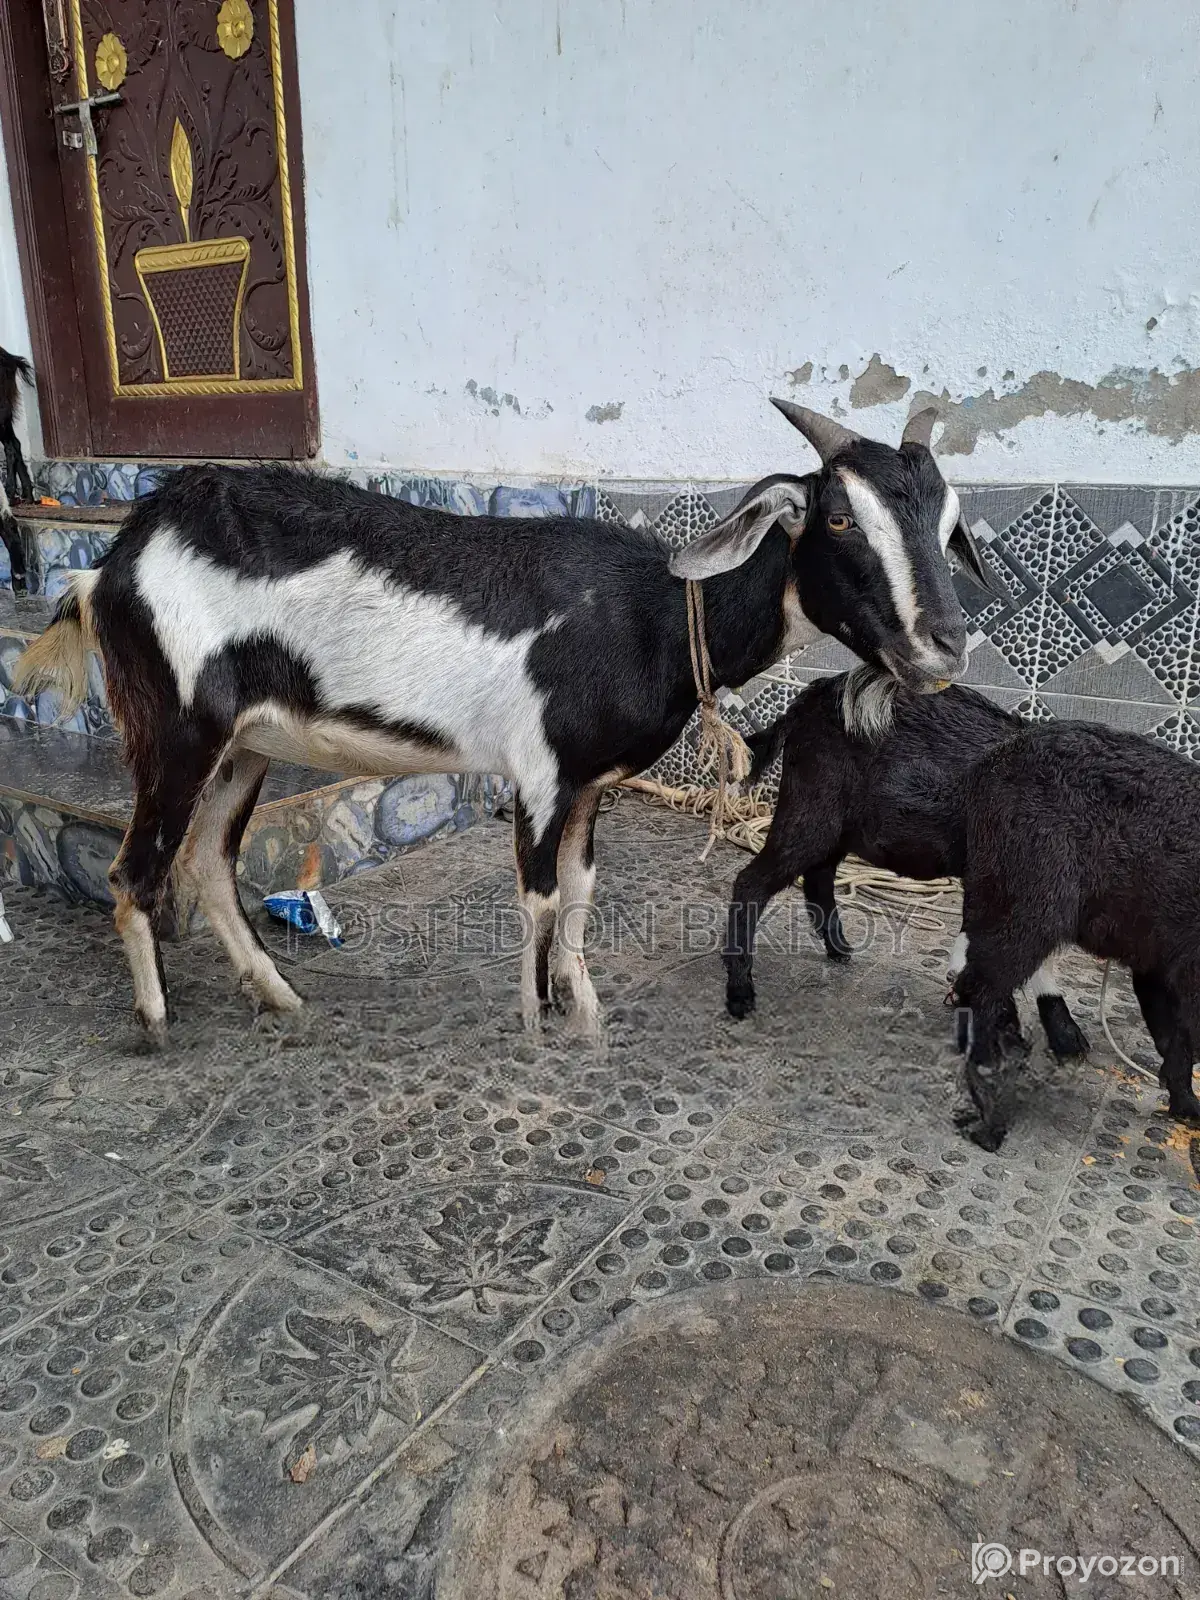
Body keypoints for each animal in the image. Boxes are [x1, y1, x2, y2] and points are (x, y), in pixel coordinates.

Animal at [15, 400, 989, 1047]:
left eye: (949, 523)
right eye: (839, 516)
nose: (946, 644)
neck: (649, 611)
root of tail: (108, 566)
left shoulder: (591, 782)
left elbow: (585, 890)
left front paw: (582, 1006)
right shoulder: (544, 771)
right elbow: (541, 894)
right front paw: (535, 1017)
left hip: (246, 744)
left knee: (210, 859)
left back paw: (278, 993)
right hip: (174, 728)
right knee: (135, 870)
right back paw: (156, 1020)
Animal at [723, 672, 1088, 1060]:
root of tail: (808, 699)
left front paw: (1063, 1038)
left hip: (841, 828)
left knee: (818, 876)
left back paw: (840, 950)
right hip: (810, 810)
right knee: (752, 881)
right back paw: (740, 994)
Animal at [956, 721, 1200, 1150]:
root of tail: (994, 761)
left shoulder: (1159, 961)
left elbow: (1174, 1041)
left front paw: (1185, 1105)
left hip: (995, 896)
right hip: (1032, 904)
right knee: (982, 985)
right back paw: (990, 1115)